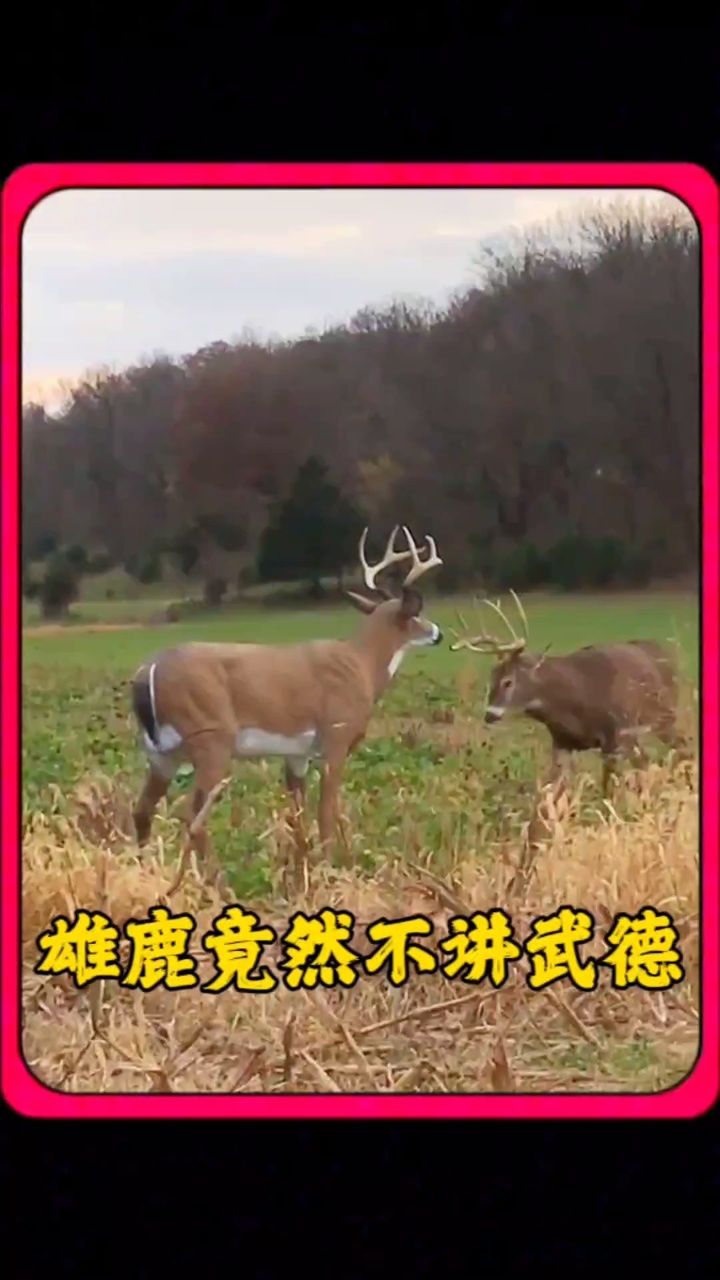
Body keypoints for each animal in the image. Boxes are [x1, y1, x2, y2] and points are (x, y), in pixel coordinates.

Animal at [129, 525, 444, 894]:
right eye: (417, 615)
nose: (438, 633)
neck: (362, 665)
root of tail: (145, 674)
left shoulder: (297, 753)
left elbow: (298, 818)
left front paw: (299, 878)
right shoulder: (336, 736)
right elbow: (326, 811)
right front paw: (329, 874)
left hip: (160, 753)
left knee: (142, 810)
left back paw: (145, 874)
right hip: (210, 738)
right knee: (193, 819)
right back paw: (217, 885)